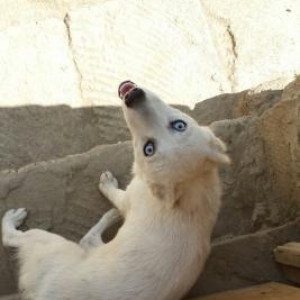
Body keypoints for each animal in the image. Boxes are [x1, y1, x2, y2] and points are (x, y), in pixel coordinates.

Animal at [1, 81, 230, 298]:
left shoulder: (130, 197)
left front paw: (107, 185)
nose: (134, 96)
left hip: (49, 242)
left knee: (17, 237)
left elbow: (114, 195)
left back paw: (14, 218)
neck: (191, 187)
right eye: (179, 125)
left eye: (148, 149)